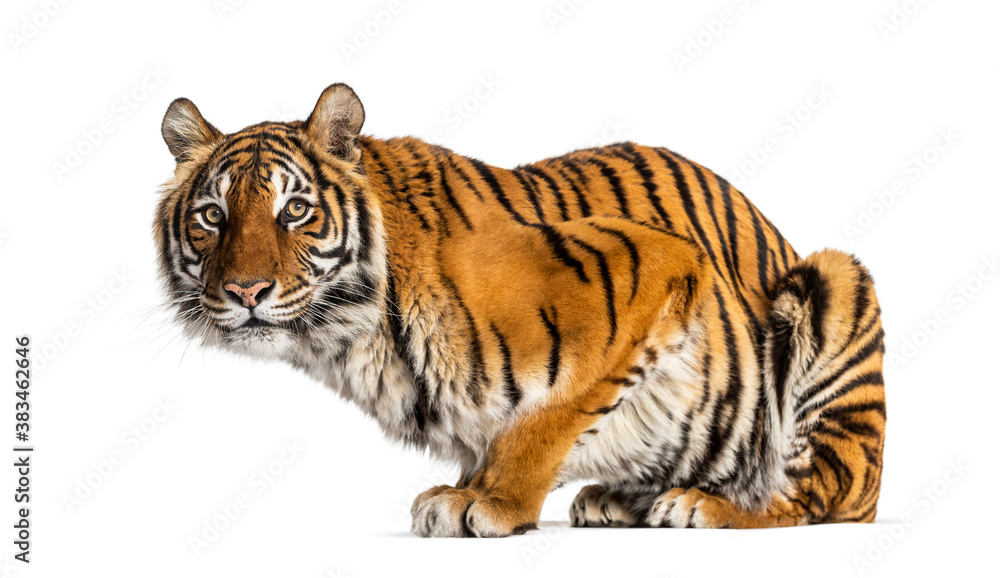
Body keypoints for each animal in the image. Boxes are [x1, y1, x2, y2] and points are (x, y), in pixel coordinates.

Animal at [154, 83, 885, 537]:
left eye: (296, 210)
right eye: (212, 217)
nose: (247, 292)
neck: (353, 335)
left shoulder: (654, 264)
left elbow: (547, 417)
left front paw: (495, 503)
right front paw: (460, 491)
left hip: (834, 284)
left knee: (815, 494)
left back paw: (705, 505)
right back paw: (619, 499)